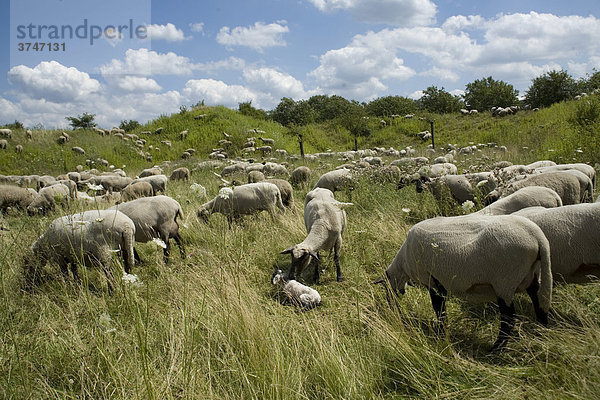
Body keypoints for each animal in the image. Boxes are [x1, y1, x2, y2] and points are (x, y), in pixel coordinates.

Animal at [378, 216, 552, 350]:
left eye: (386, 289)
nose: (391, 306)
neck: (403, 263)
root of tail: (538, 237)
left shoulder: (431, 280)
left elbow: (439, 308)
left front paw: (441, 333)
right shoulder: (440, 283)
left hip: (505, 282)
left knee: (509, 320)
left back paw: (496, 349)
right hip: (532, 276)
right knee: (539, 304)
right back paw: (541, 335)